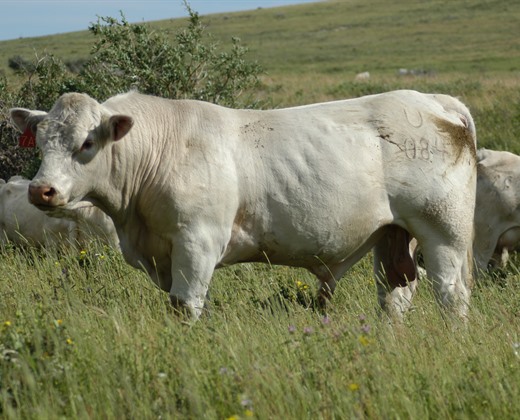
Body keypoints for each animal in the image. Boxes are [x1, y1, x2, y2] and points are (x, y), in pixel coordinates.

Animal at [10, 88, 478, 318]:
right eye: (41, 141)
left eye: (86, 143)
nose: (41, 190)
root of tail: (433, 101)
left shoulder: (197, 244)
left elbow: (185, 306)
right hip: (391, 235)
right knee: (395, 294)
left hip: (443, 231)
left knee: (451, 294)